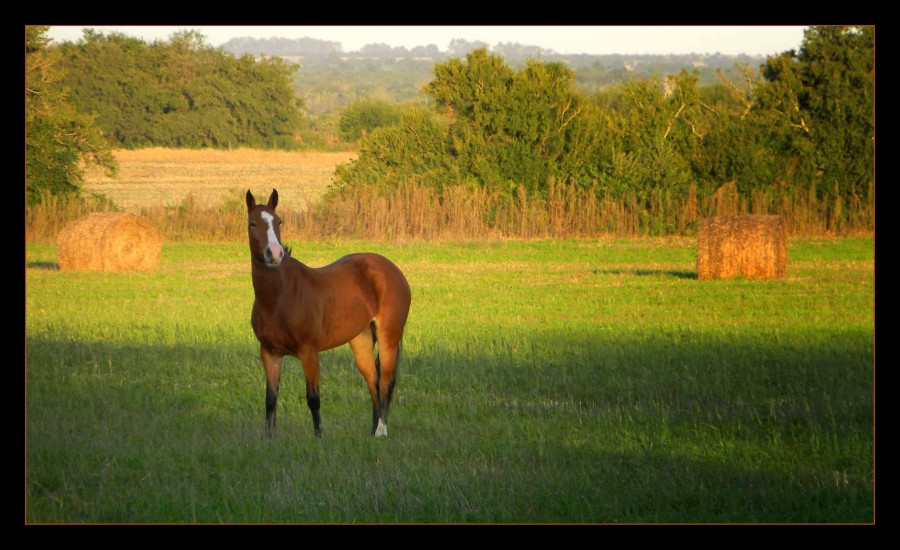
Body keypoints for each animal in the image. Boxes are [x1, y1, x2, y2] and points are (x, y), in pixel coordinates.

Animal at [248, 190, 414, 440]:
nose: (275, 254)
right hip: (361, 339)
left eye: (279, 221)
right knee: (373, 382)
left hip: (389, 337)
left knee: (385, 382)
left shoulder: (309, 352)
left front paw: (319, 437)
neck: (279, 297)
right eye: (253, 223)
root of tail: (392, 269)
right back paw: (373, 431)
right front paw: (269, 438)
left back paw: (381, 431)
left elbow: (313, 398)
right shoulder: (270, 353)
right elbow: (270, 399)